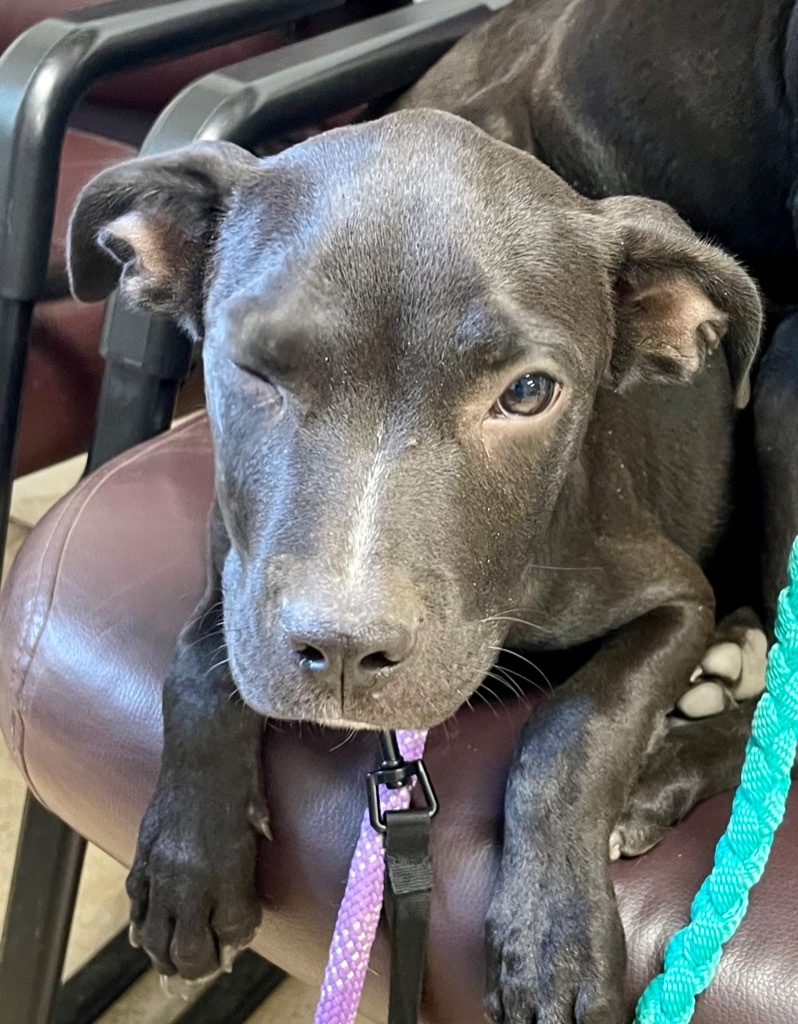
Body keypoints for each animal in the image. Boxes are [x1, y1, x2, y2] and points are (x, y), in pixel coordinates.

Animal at [67, 2, 798, 1024]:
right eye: (250, 364)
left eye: (528, 392)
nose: (343, 651)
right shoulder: (236, 553)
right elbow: (202, 653)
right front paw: (186, 863)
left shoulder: (671, 593)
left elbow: (573, 725)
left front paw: (553, 938)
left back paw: (672, 765)